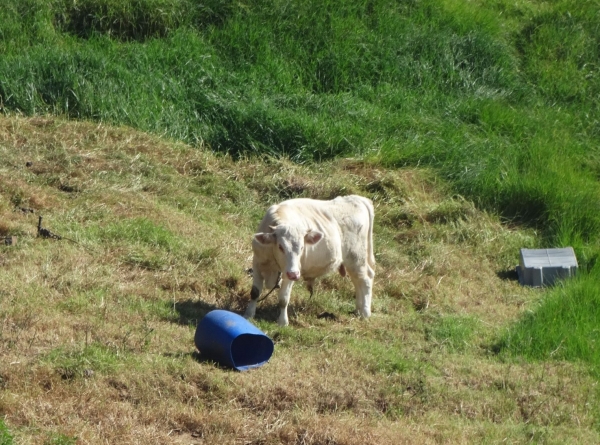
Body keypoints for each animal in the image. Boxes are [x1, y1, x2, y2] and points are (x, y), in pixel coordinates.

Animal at [244, 195, 376, 326]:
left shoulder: (290, 272)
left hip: (356, 257)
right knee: (358, 281)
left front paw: (283, 322)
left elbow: (283, 299)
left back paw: (364, 313)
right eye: (281, 246)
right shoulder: (257, 262)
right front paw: (249, 314)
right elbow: (255, 292)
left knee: (365, 279)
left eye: (302, 247)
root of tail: (357, 198)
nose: (294, 274)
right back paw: (358, 310)